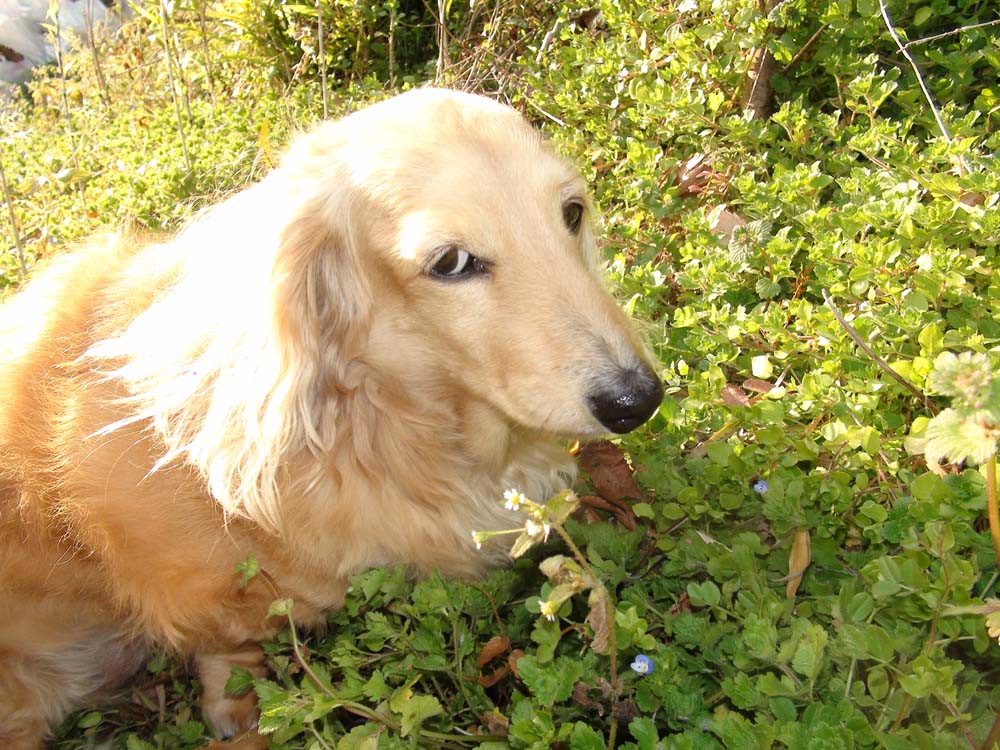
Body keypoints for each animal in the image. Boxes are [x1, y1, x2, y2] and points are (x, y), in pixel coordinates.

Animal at [1, 89, 664, 750]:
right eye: (450, 262)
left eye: (572, 212)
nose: (637, 400)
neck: (375, 428)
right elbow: (230, 643)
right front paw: (235, 703)